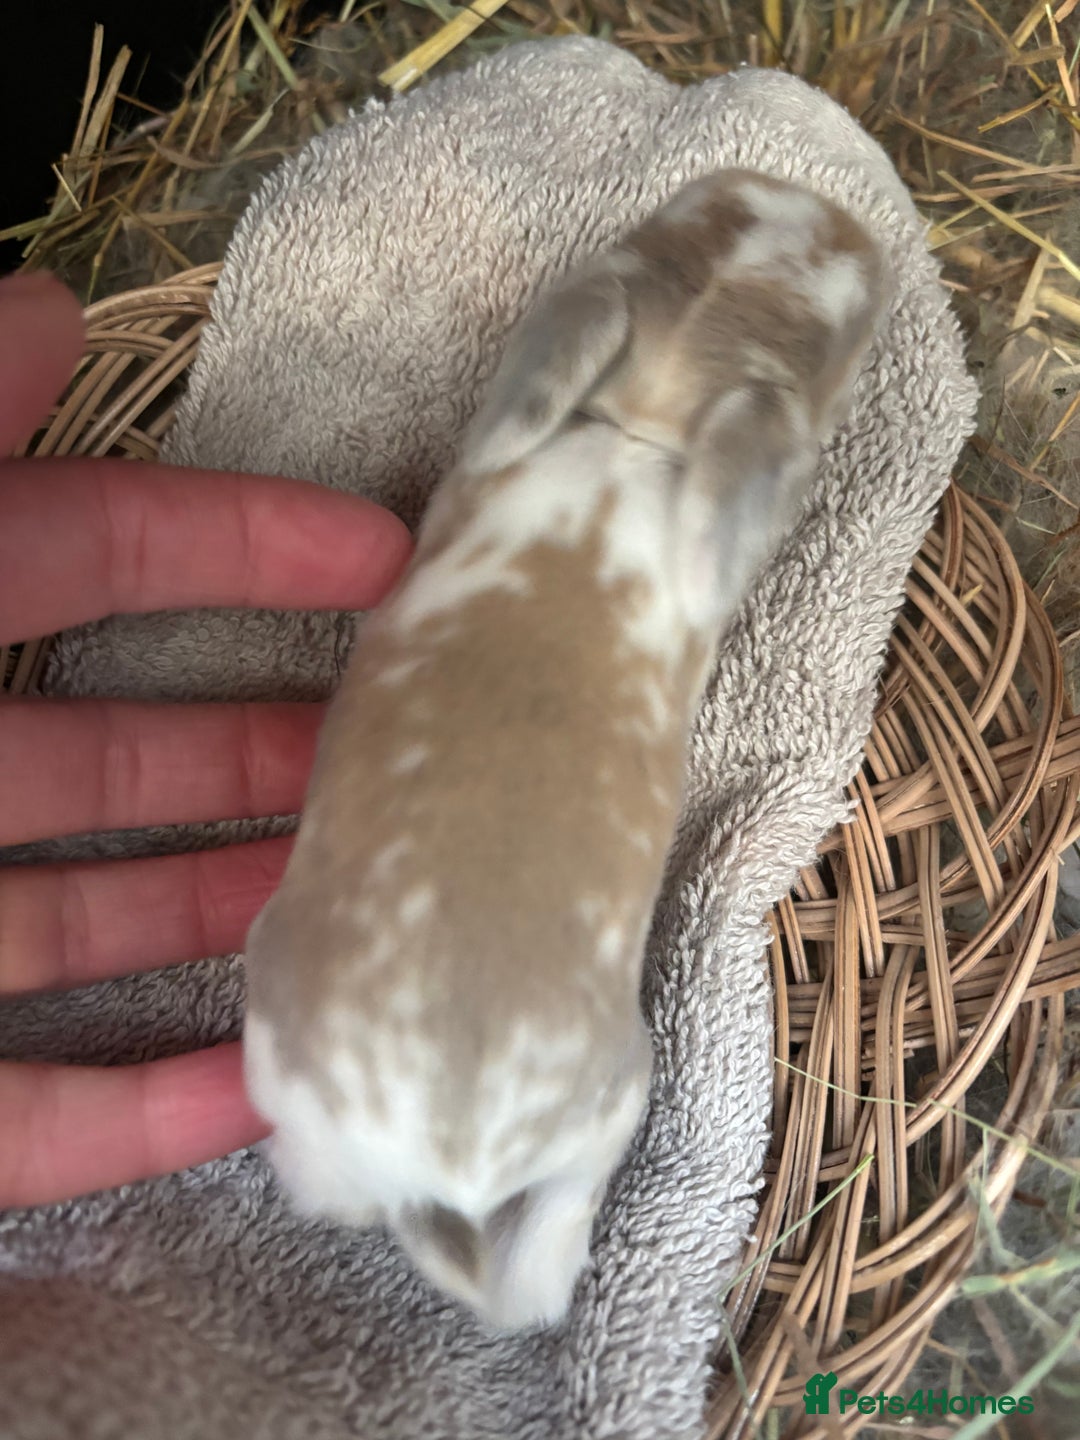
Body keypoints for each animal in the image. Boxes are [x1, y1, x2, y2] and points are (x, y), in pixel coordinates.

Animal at [242, 169, 888, 1331]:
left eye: (700, 203)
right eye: (846, 328)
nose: (848, 224)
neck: (640, 427)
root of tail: (445, 1158)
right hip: (617, 1099)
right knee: (545, 1258)